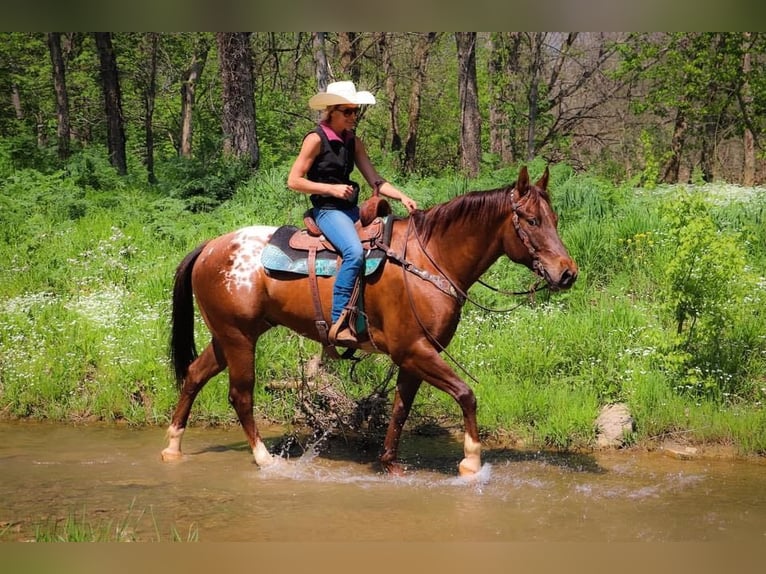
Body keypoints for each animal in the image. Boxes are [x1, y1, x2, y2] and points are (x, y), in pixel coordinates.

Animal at [164, 165, 584, 476]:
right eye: (531, 220)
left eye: (554, 218)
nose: (567, 273)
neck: (431, 258)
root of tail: (211, 246)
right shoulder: (413, 350)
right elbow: (466, 394)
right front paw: (471, 461)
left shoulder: (414, 357)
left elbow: (400, 409)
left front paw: (390, 463)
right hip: (238, 339)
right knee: (241, 395)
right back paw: (264, 458)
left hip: (229, 336)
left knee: (194, 375)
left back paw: (172, 446)